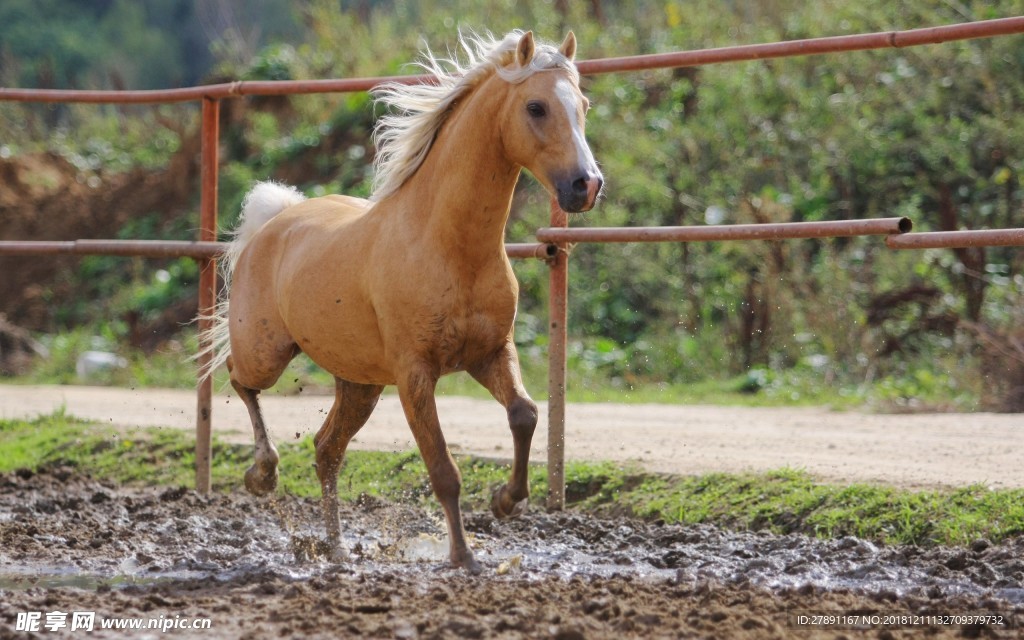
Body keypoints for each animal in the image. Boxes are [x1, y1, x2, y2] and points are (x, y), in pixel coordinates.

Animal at [198, 29, 598, 573]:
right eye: (536, 107)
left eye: (582, 105)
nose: (586, 185)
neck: (449, 246)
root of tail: (275, 220)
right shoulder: (415, 375)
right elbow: (443, 469)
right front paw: (463, 557)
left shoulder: (491, 353)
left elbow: (526, 413)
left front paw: (506, 501)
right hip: (268, 353)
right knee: (241, 380)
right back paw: (263, 473)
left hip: (360, 383)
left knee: (326, 449)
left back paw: (337, 549)